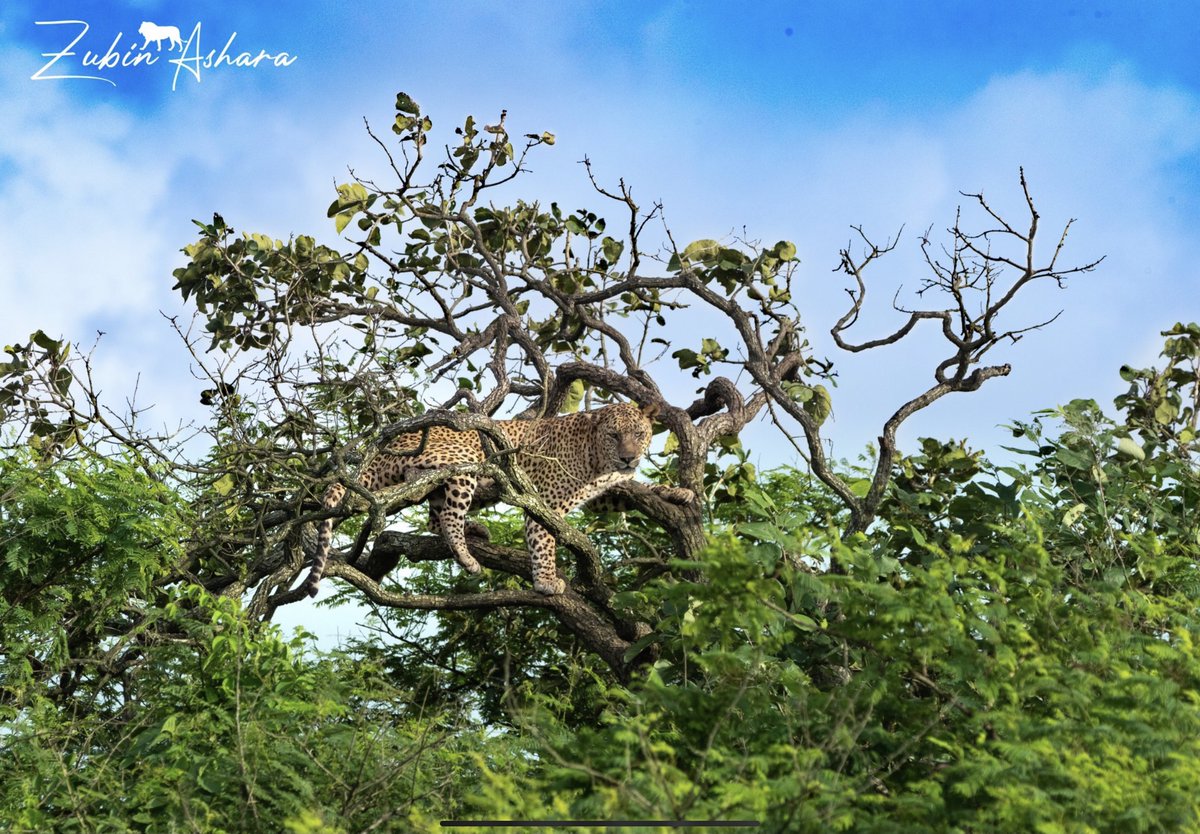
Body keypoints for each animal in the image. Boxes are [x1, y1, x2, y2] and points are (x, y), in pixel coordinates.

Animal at [300, 401, 675, 597]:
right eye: (614, 435)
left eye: (639, 434)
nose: (628, 458)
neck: (599, 459)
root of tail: (381, 450)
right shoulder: (546, 501)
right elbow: (543, 539)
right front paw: (546, 580)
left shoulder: (602, 490)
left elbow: (631, 494)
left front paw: (677, 494)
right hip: (464, 458)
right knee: (445, 514)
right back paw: (467, 555)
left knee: (434, 515)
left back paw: (474, 531)